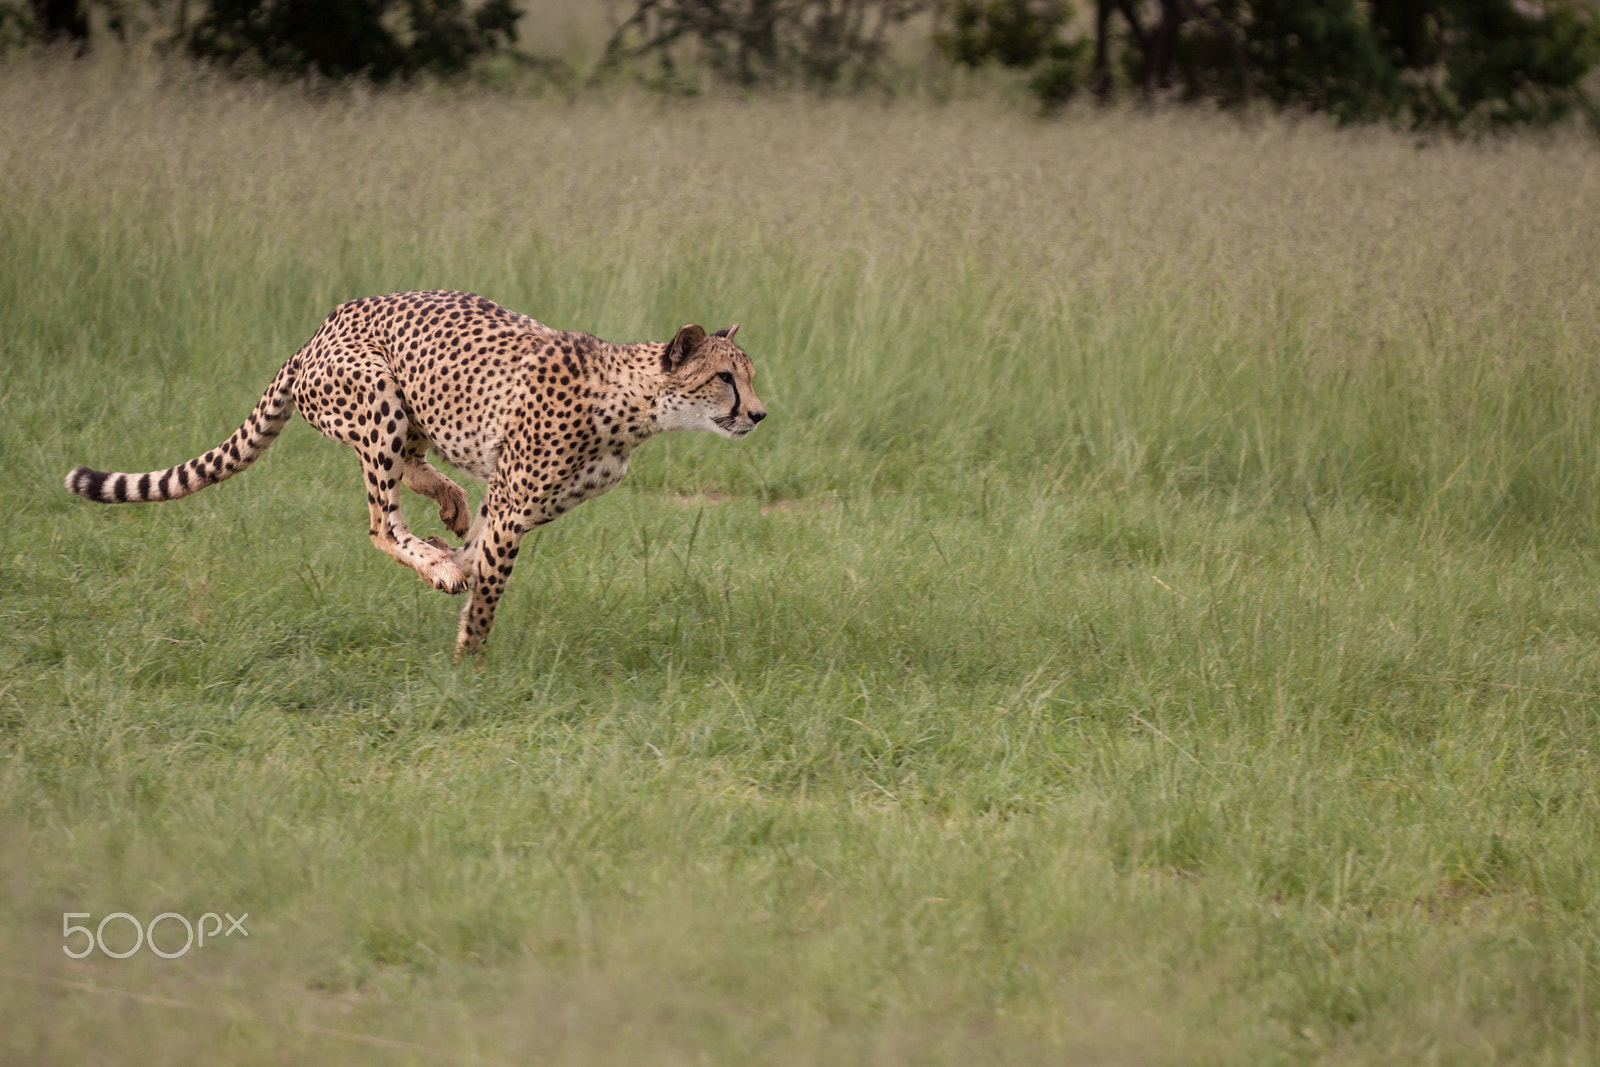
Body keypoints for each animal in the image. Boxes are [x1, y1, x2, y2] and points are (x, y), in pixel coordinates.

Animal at [64, 290, 766, 656]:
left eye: (750, 376)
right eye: (724, 378)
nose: (758, 414)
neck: (632, 405)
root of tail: (319, 328)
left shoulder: (509, 501)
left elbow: (478, 548)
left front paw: (455, 560)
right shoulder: (515, 506)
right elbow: (488, 586)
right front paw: (469, 660)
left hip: (410, 407)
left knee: (412, 464)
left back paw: (446, 509)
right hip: (374, 393)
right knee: (381, 519)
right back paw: (431, 554)